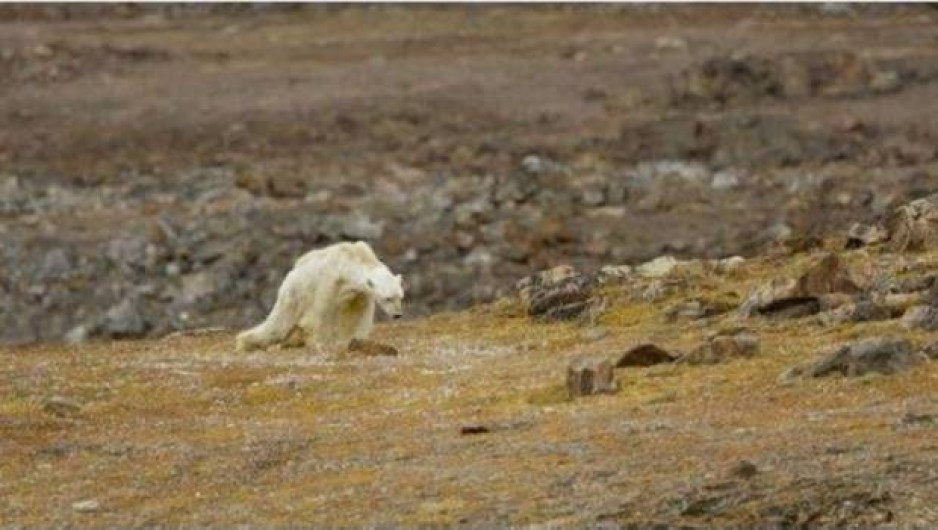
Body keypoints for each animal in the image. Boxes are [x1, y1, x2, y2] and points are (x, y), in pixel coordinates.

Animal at [236, 241, 404, 352]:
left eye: (400, 297)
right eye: (388, 298)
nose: (397, 315)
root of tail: (292, 271)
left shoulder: (359, 294)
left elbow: (359, 315)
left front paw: (356, 340)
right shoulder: (329, 283)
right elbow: (321, 314)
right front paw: (320, 343)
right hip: (295, 292)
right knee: (279, 323)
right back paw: (245, 341)